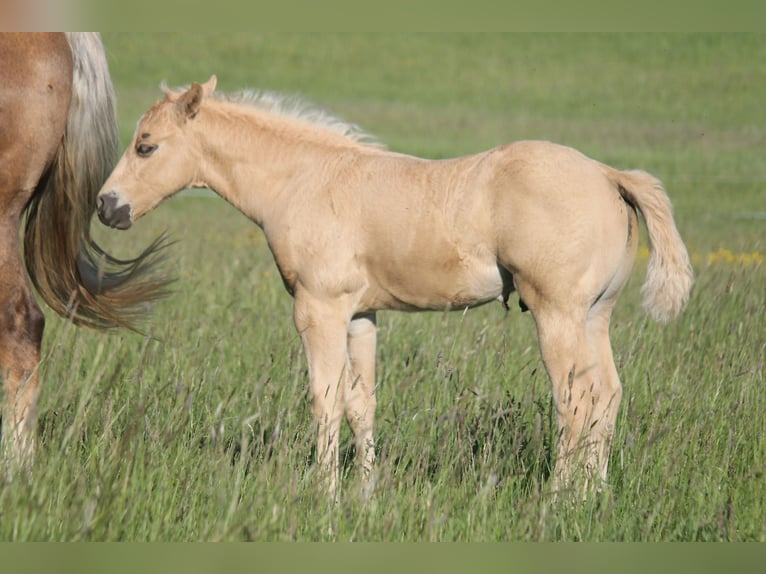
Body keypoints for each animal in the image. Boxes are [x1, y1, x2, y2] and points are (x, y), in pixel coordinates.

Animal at [96, 76, 693, 496]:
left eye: (146, 146)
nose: (107, 206)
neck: (306, 179)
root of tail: (609, 175)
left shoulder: (318, 310)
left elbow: (325, 399)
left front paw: (324, 494)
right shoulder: (361, 315)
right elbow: (362, 402)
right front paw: (364, 491)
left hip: (558, 315)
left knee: (575, 401)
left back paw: (556, 500)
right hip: (595, 315)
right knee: (607, 397)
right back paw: (593, 496)